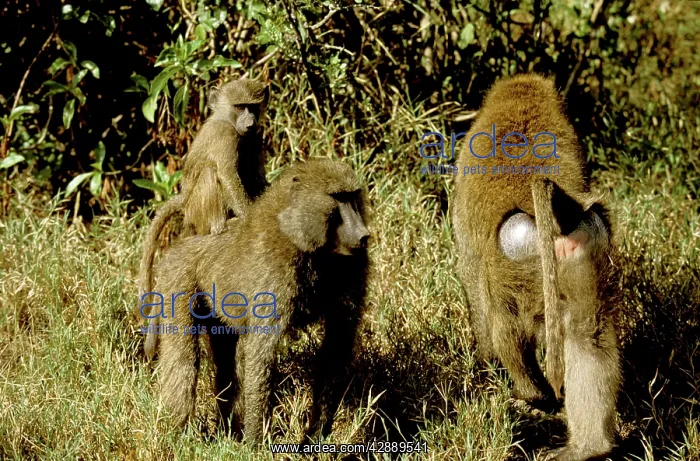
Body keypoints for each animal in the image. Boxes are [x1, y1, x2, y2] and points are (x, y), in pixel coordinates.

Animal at [138, 78, 270, 357]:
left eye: (253, 107)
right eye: (239, 106)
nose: (250, 122)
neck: (226, 120)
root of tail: (184, 202)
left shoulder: (254, 139)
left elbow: (257, 179)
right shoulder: (225, 136)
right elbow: (228, 174)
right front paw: (248, 220)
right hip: (198, 209)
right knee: (211, 172)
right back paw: (221, 226)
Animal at [142, 159, 370, 443]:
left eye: (354, 196)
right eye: (338, 198)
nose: (363, 235)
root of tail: (179, 245)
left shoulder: (353, 264)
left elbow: (336, 346)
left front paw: (315, 438)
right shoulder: (274, 270)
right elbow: (262, 351)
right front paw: (254, 443)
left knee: (226, 361)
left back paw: (226, 430)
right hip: (177, 281)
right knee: (184, 358)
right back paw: (179, 433)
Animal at [451, 74, 620, 461]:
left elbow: (474, 291)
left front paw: (484, 364)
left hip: (512, 258)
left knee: (501, 318)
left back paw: (533, 396)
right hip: (582, 243)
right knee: (587, 333)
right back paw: (589, 448)